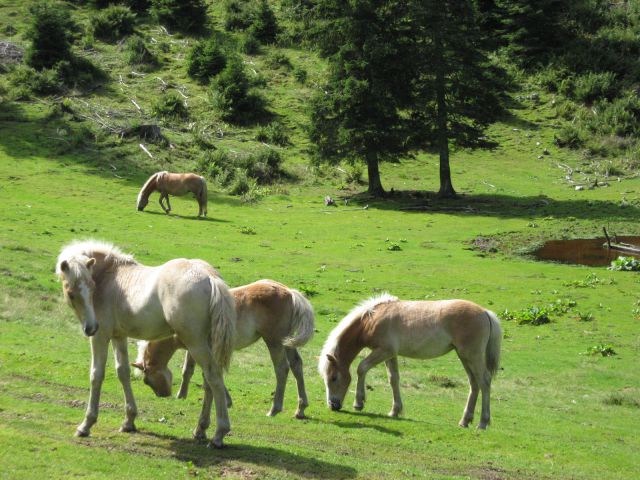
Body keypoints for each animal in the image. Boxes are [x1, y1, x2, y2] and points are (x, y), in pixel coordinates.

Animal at [56, 242, 236, 448]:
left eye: (92, 288)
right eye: (72, 294)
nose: (91, 327)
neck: (109, 276)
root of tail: (209, 277)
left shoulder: (101, 337)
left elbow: (96, 375)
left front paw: (86, 425)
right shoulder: (119, 336)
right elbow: (123, 372)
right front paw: (129, 421)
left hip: (195, 343)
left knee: (214, 377)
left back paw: (219, 434)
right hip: (205, 342)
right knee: (208, 383)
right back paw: (200, 429)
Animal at [135, 280, 316, 418]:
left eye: (146, 380)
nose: (163, 395)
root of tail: (289, 292)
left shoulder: (200, 348)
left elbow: (207, 373)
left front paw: (226, 400)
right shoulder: (193, 348)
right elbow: (188, 370)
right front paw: (182, 395)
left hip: (274, 341)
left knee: (282, 369)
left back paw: (274, 409)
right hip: (286, 342)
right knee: (296, 365)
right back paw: (300, 409)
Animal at [318, 294, 502, 430]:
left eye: (334, 378)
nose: (333, 405)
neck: (371, 320)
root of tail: (485, 312)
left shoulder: (383, 351)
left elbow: (362, 368)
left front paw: (359, 403)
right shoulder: (390, 355)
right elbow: (393, 379)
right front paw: (395, 411)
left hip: (472, 355)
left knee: (484, 381)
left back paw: (483, 422)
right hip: (464, 356)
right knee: (474, 383)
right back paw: (465, 420)